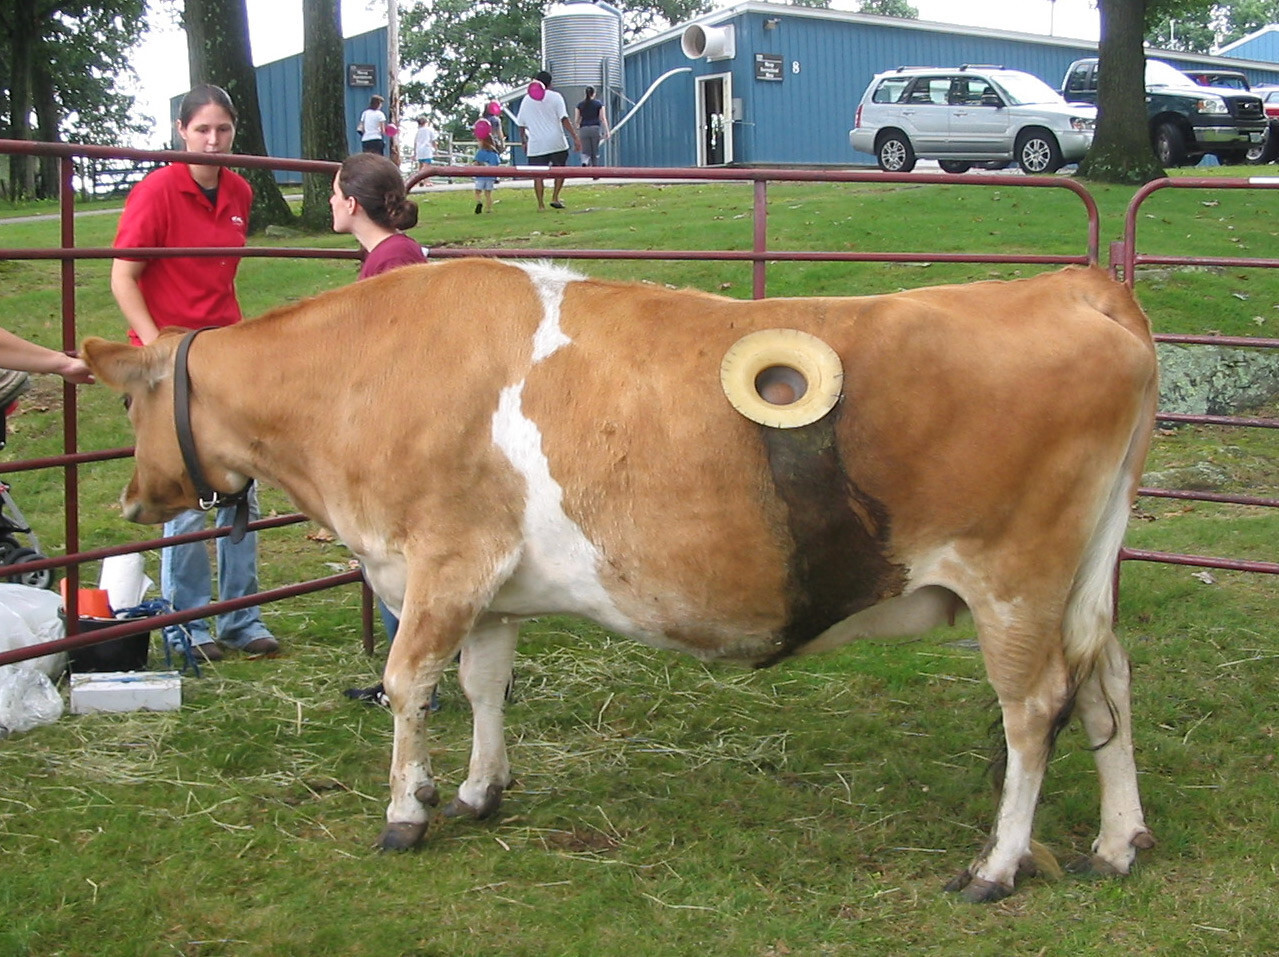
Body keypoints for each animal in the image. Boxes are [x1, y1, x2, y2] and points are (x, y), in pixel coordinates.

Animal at [81, 259, 1159, 902]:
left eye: (129, 406)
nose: (130, 499)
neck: (365, 372)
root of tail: (1068, 284)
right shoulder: (486, 584)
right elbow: (482, 683)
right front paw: (474, 789)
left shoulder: (442, 559)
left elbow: (406, 686)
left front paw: (403, 813)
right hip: (1081, 584)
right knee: (1107, 684)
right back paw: (1117, 842)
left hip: (1012, 582)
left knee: (1034, 710)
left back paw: (998, 865)